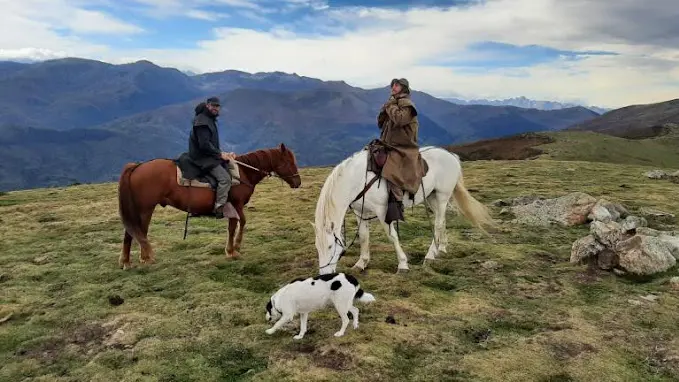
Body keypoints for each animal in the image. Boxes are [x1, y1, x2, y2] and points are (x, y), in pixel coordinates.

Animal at [116, 142, 300, 270]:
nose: (298, 182)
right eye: (289, 162)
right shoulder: (236, 204)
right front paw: (234, 249)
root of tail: (137, 166)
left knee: (135, 232)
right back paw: (139, 259)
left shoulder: (232, 207)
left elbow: (233, 226)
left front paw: (230, 250)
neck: (242, 173)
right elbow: (240, 223)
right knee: (137, 231)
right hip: (145, 209)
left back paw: (133, 260)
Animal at [314, 145, 494, 274]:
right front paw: (361, 263)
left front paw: (402, 265)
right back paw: (441, 247)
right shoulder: (361, 213)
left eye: (330, 246)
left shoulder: (383, 211)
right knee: (441, 220)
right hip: (431, 197)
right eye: (317, 247)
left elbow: (392, 236)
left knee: (438, 223)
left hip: (442, 197)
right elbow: (364, 237)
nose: (325, 275)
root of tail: (451, 155)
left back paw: (430, 255)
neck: (359, 179)